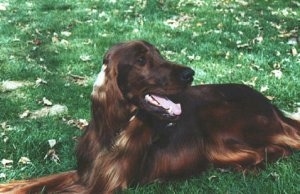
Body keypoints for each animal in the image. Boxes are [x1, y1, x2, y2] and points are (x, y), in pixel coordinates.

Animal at [0, 40, 300, 193]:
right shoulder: (86, 173)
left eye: (160, 54)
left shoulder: (109, 185)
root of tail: (271, 105)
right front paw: (11, 184)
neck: (116, 131)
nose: (190, 74)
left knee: (282, 146)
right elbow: (39, 181)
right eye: (141, 60)